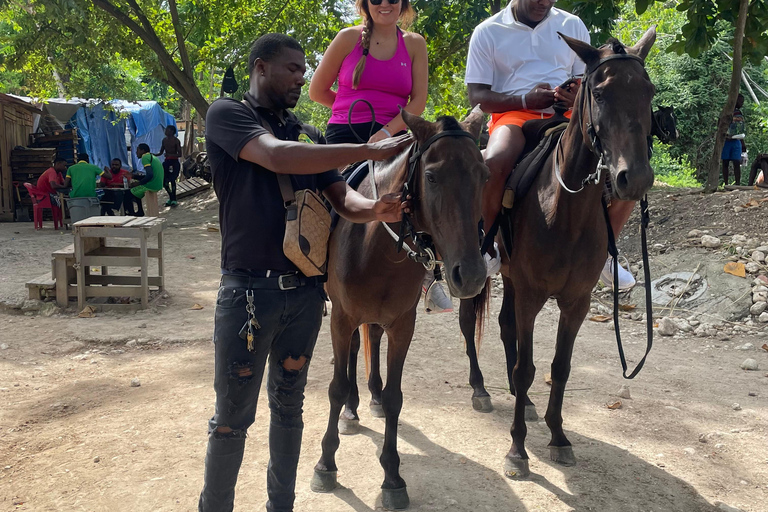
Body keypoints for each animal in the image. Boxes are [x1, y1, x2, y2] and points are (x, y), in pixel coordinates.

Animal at [310, 109, 486, 508]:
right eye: (432, 176)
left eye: (484, 175)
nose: (470, 274)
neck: (376, 247)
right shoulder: (341, 318)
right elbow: (336, 387)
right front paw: (326, 464)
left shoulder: (403, 324)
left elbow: (394, 397)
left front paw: (392, 477)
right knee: (353, 353)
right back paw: (352, 410)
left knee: (371, 340)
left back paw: (369, 397)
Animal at [460, 27, 656, 476]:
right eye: (599, 93)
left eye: (649, 91)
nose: (634, 177)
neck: (565, 211)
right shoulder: (532, 295)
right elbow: (526, 366)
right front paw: (517, 449)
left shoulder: (575, 301)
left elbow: (559, 368)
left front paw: (558, 436)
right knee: (468, 322)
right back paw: (480, 389)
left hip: (512, 278)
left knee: (504, 326)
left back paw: (525, 402)